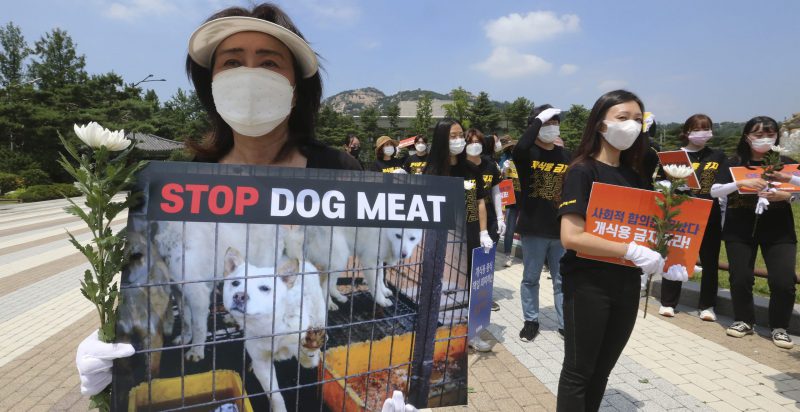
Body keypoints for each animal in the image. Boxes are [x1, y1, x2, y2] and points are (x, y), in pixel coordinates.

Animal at [152, 222, 284, 360]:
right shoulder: (178, 291)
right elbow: (186, 319)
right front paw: (185, 338)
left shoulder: (198, 294)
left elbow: (198, 326)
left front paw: (196, 351)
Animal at [220, 248, 326, 412]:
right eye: (236, 283)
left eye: (265, 288)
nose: (239, 296)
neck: (271, 327)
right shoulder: (262, 364)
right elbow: (275, 395)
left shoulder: (305, 352)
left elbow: (308, 356)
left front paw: (312, 343)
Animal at [288, 227, 424, 310]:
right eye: (398, 236)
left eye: (412, 238)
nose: (404, 255)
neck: (386, 233)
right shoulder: (369, 261)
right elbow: (375, 284)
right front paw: (381, 300)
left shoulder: (378, 260)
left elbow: (380, 277)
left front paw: (384, 290)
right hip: (340, 258)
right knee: (324, 286)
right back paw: (329, 304)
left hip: (339, 261)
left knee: (330, 284)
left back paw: (339, 297)